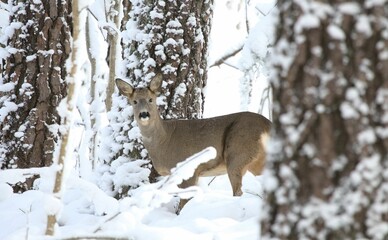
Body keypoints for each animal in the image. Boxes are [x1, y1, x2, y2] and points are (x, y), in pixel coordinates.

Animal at [116, 74, 272, 210]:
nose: (144, 114)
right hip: (256, 160)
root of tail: (267, 125)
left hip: (238, 153)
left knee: (238, 191)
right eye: (134, 102)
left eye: (150, 99)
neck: (164, 140)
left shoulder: (189, 170)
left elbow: (184, 203)